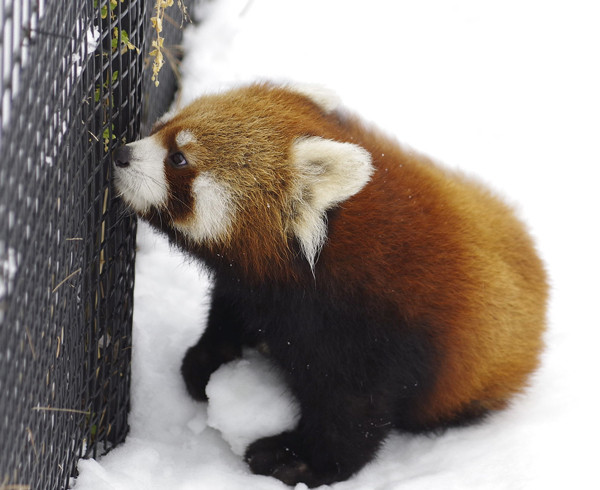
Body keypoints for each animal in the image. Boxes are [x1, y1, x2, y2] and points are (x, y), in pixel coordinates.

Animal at [112, 82, 548, 488]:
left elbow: (352, 413)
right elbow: (229, 314)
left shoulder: (373, 332)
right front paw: (206, 360)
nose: (121, 154)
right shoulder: (256, 291)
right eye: (162, 126)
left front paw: (299, 461)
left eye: (178, 158)